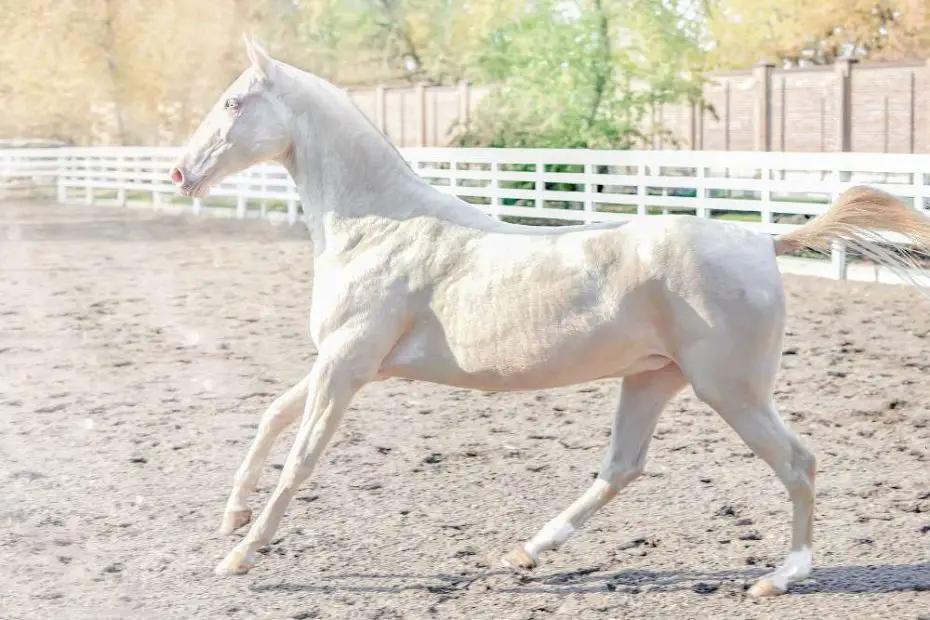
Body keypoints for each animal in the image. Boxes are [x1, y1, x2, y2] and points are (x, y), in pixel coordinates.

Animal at [169, 36, 930, 597]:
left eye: (234, 101)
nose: (181, 173)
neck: (379, 226)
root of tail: (761, 241)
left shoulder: (347, 367)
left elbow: (300, 458)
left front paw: (238, 557)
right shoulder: (347, 363)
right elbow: (272, 414)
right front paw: (232, 517)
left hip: (732, 391)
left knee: (798, 462)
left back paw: (780, 577)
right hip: (654, 379)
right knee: (622, 468)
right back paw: (526, 553)